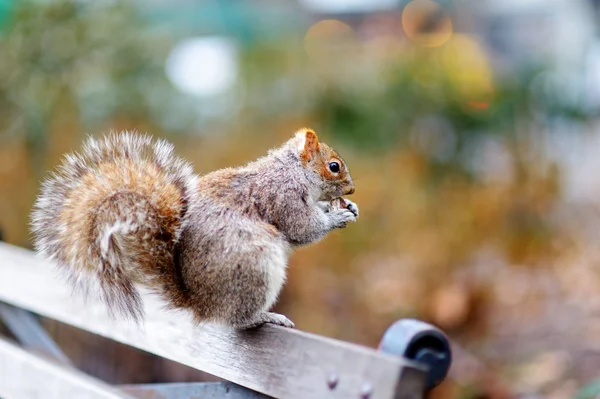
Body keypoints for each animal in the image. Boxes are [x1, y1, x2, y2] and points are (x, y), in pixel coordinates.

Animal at [30, 130, 356, 330]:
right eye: (334, 166)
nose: (352, 190)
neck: (293, 170)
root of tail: (201, 305)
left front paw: (348, 208)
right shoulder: (282, 195)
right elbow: (302, 228)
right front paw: (336, 217)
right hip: (255, 267)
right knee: (236, 320)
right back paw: (265, 317)